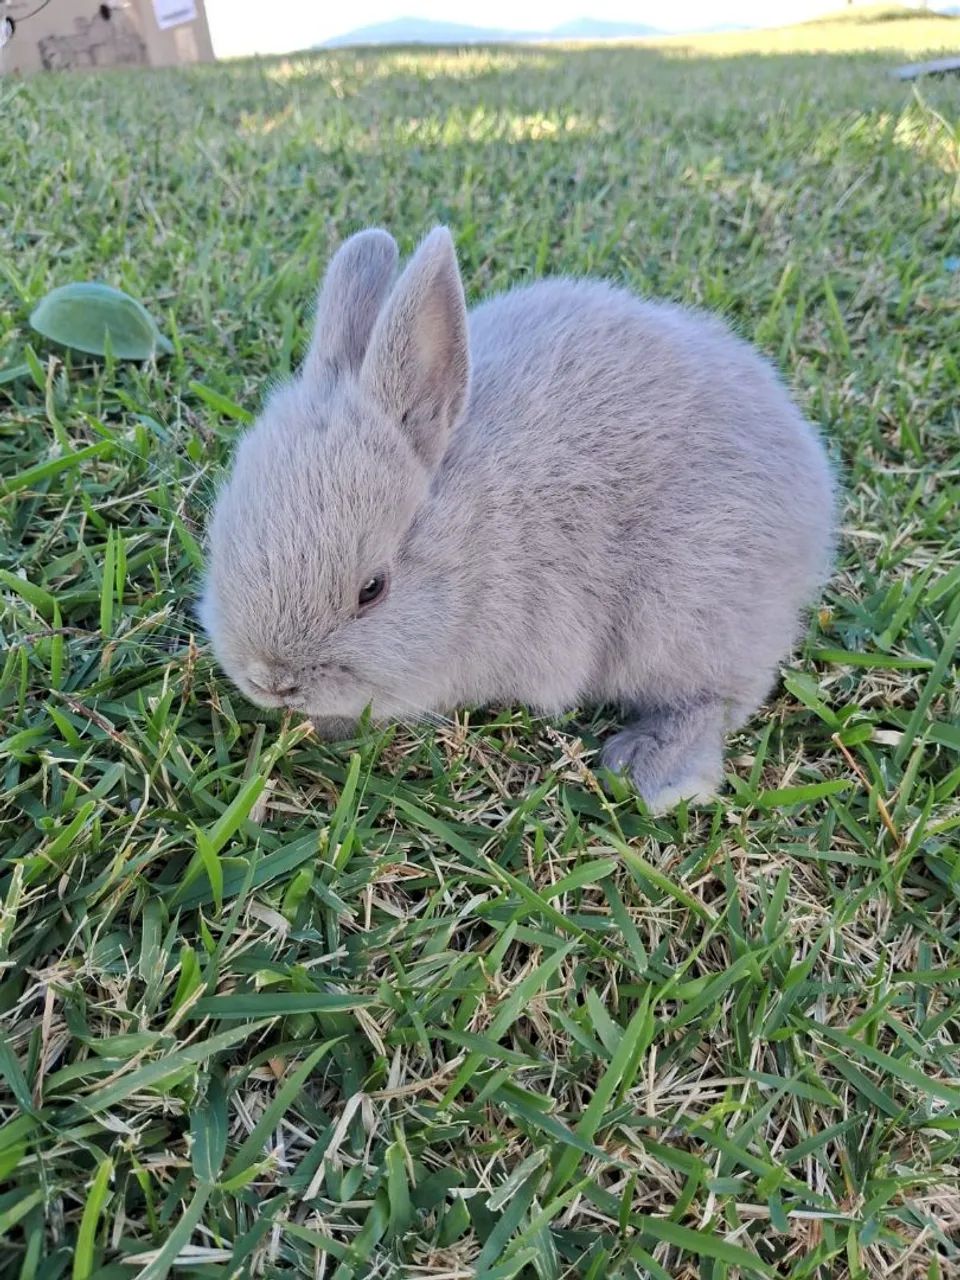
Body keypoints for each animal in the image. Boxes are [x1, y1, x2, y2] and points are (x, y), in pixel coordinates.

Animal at [200, 226, 836, 812]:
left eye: (372, 589)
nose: (271, 680)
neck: (473, 536)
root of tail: (812, 487)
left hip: (687, 610)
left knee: (716, 697)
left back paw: (651, 771)